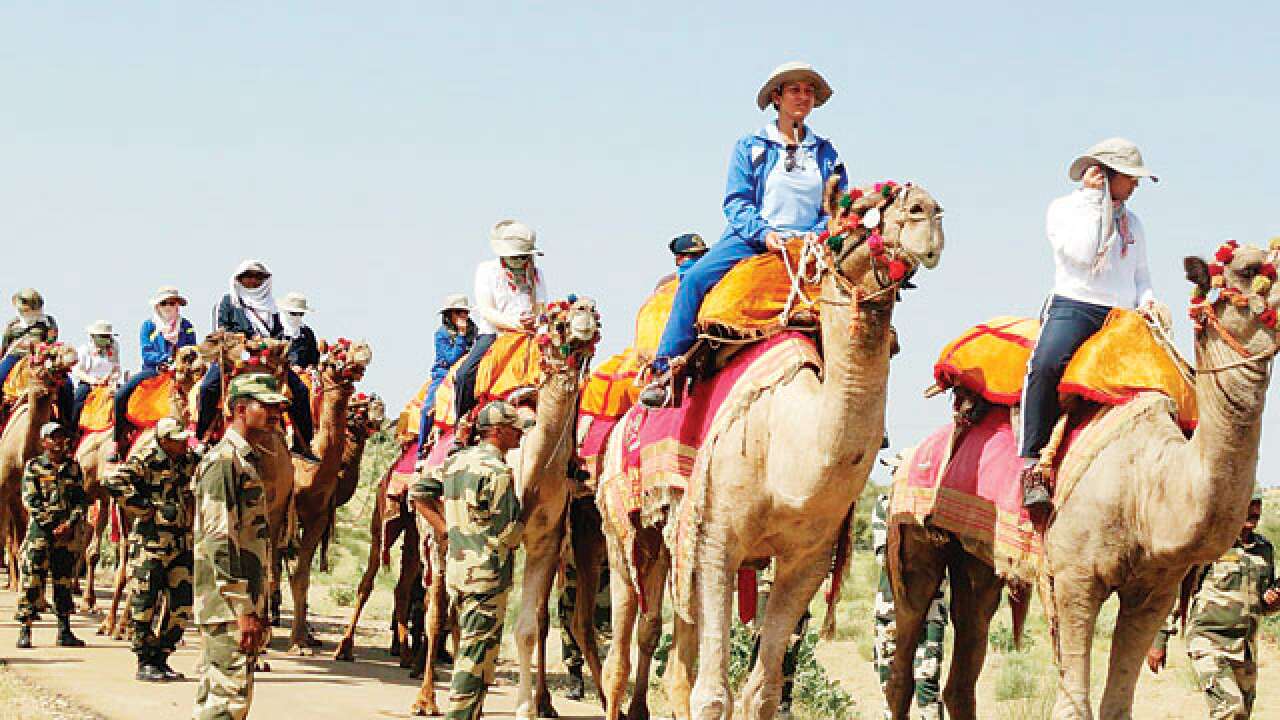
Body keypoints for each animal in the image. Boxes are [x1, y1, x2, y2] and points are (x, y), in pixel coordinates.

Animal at [593, 178, 947, 717]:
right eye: (861, 211)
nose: (927, 212)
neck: (788, 452)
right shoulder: (718, 540)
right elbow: (714, 694)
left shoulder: (808, 561)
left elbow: (761, 691)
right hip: (621, 529)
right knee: (623, 645)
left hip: (672, 539)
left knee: (669, 650)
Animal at [890, 242, 1280, 717]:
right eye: (1249, 269)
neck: (1146, 487)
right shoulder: (1072, 578)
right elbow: (1073, 704)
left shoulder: (1155, 590)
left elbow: (1117, 703)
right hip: (911, 534)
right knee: (902, 661)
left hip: (975, 557)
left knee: (965, 656)